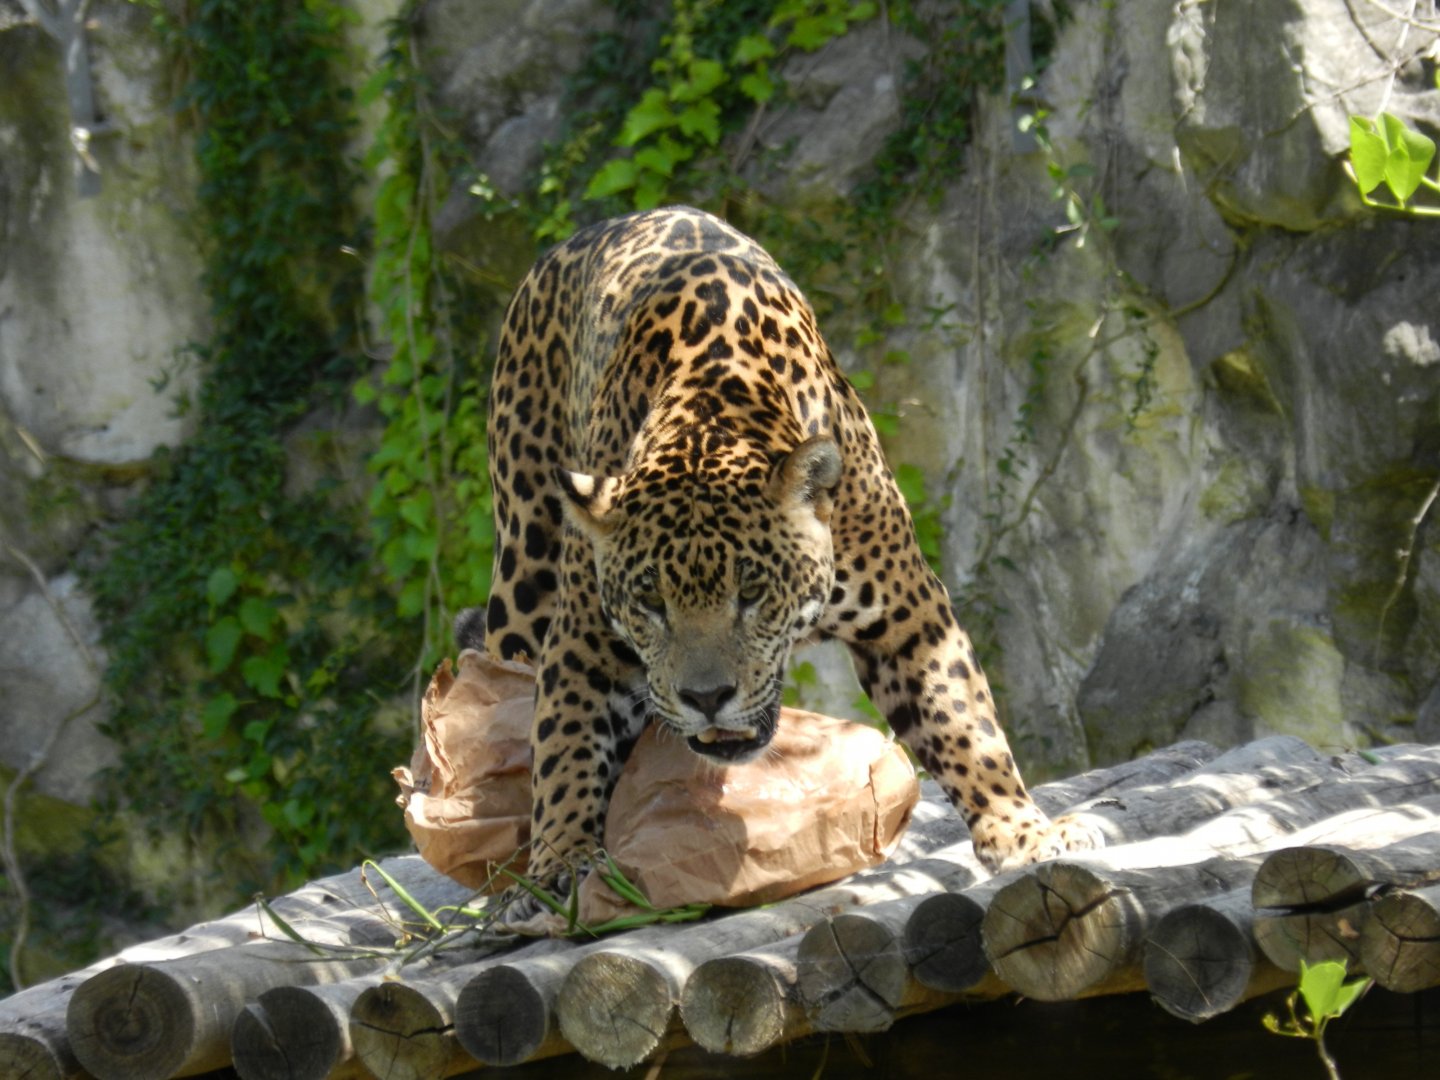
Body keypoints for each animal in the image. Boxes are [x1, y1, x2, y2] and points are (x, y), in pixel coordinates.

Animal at [470, 206, 1101, 899]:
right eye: (650, 602)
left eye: (751, 593)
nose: (706, 698)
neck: (708, 414)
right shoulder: (582, 640)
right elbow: (565, 747)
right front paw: (558, 863)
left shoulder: (911, 614)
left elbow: (964, 720)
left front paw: (1020, 830)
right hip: (524, 567)